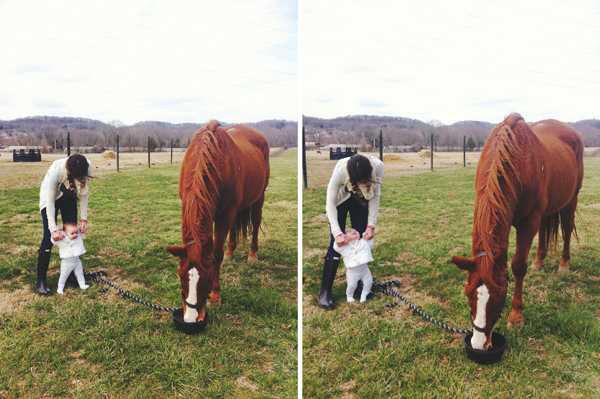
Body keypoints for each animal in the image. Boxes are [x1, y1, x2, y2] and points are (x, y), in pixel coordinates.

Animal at [166, 120, 270, 324]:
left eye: (207, 277)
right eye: (180, 274)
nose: (191, 318)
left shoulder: (225, 213)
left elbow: (217, 255)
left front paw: (215, 296)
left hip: (258, 198)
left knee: (255, 223)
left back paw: (253, 254)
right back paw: (231, 251)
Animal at [452, 112, 584, 350]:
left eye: (498, 297)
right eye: (468, 294)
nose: (478, 344)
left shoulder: (528, 222)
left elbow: (518, 266)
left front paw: (515, 317)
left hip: (571, 201)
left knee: (567, 229)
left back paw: (564, 264)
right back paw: (539, 261)